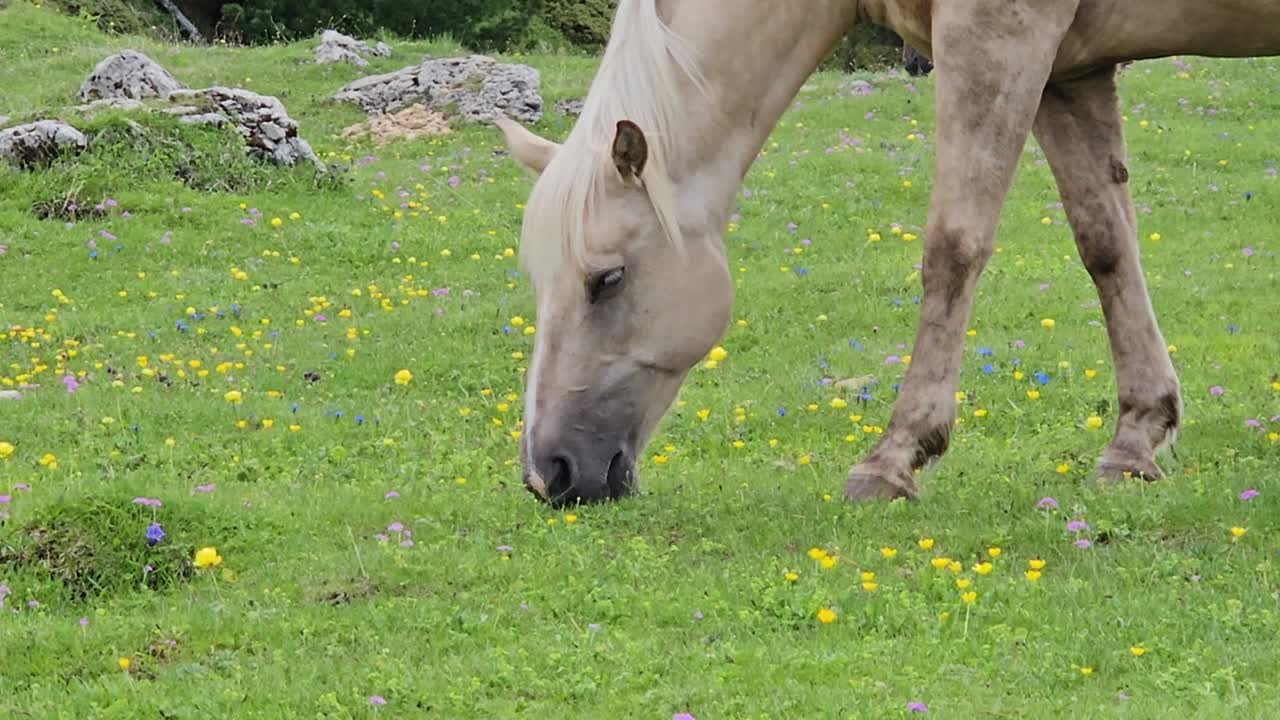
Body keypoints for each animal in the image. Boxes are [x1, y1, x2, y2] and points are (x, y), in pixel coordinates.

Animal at [495, 0, 1280, 507]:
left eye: (607, 280)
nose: (549, 474)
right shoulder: (1069, 70)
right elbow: (1105, 244)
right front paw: (1136, 440)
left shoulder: (998, 37)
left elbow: (953, 248)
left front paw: (896, 457)